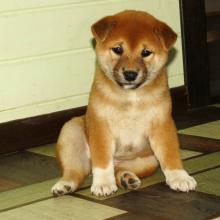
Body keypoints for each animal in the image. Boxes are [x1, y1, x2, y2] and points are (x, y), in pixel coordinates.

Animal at [52, 9, 197, 197]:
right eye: (118, 49)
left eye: (146, 52)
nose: (130, 74)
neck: (131, 96)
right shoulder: (101, 126)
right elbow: (102, 160)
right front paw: (103, 183)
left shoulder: (162, 124)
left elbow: (170, 153)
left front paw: (179, 177)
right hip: (71, 134)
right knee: (75, 171)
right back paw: (65, 184)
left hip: (147, 161)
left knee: (119, 170)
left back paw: (127, 179)